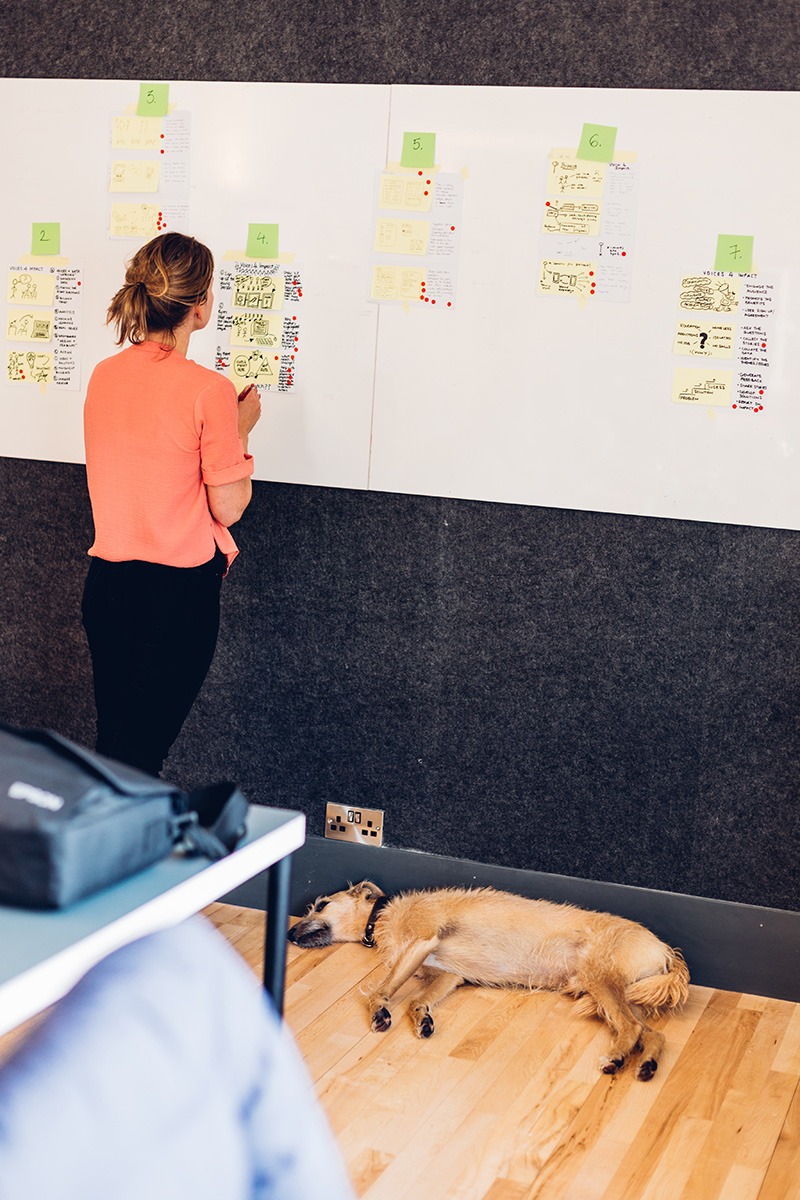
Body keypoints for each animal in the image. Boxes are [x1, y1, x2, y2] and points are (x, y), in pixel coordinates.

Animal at [287, 883, 690, 1080]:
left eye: (321, 905)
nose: (289, 932)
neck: (382, 915)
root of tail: (665, 951)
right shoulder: (447, 974)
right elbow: (418, 999)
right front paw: (422, 1018)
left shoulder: (422, 940)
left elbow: (380, 988)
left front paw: (380, 1011)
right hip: (612, 993)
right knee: (653, 1034)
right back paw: (647, 1065)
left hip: (601, 980)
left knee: (632, 1030)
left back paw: (617, 1057)